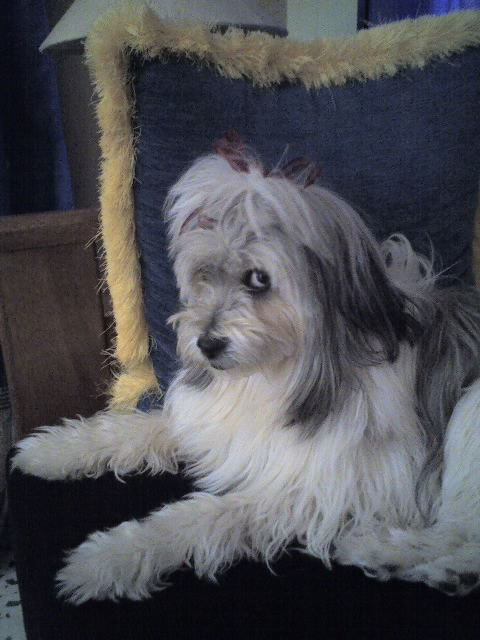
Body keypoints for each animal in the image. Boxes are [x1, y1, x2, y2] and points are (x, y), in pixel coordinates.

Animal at [12, 132, 480, 603]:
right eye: (203, 273)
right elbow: (130, 429)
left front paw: (110, 558)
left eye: (259, 279)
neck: (277, 375)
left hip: (469, 409)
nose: (206, 344)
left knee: (461, 540)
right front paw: (53, 449)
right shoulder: (214, 426)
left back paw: (383, 550)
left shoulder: (322, 490)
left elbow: (201, 519)